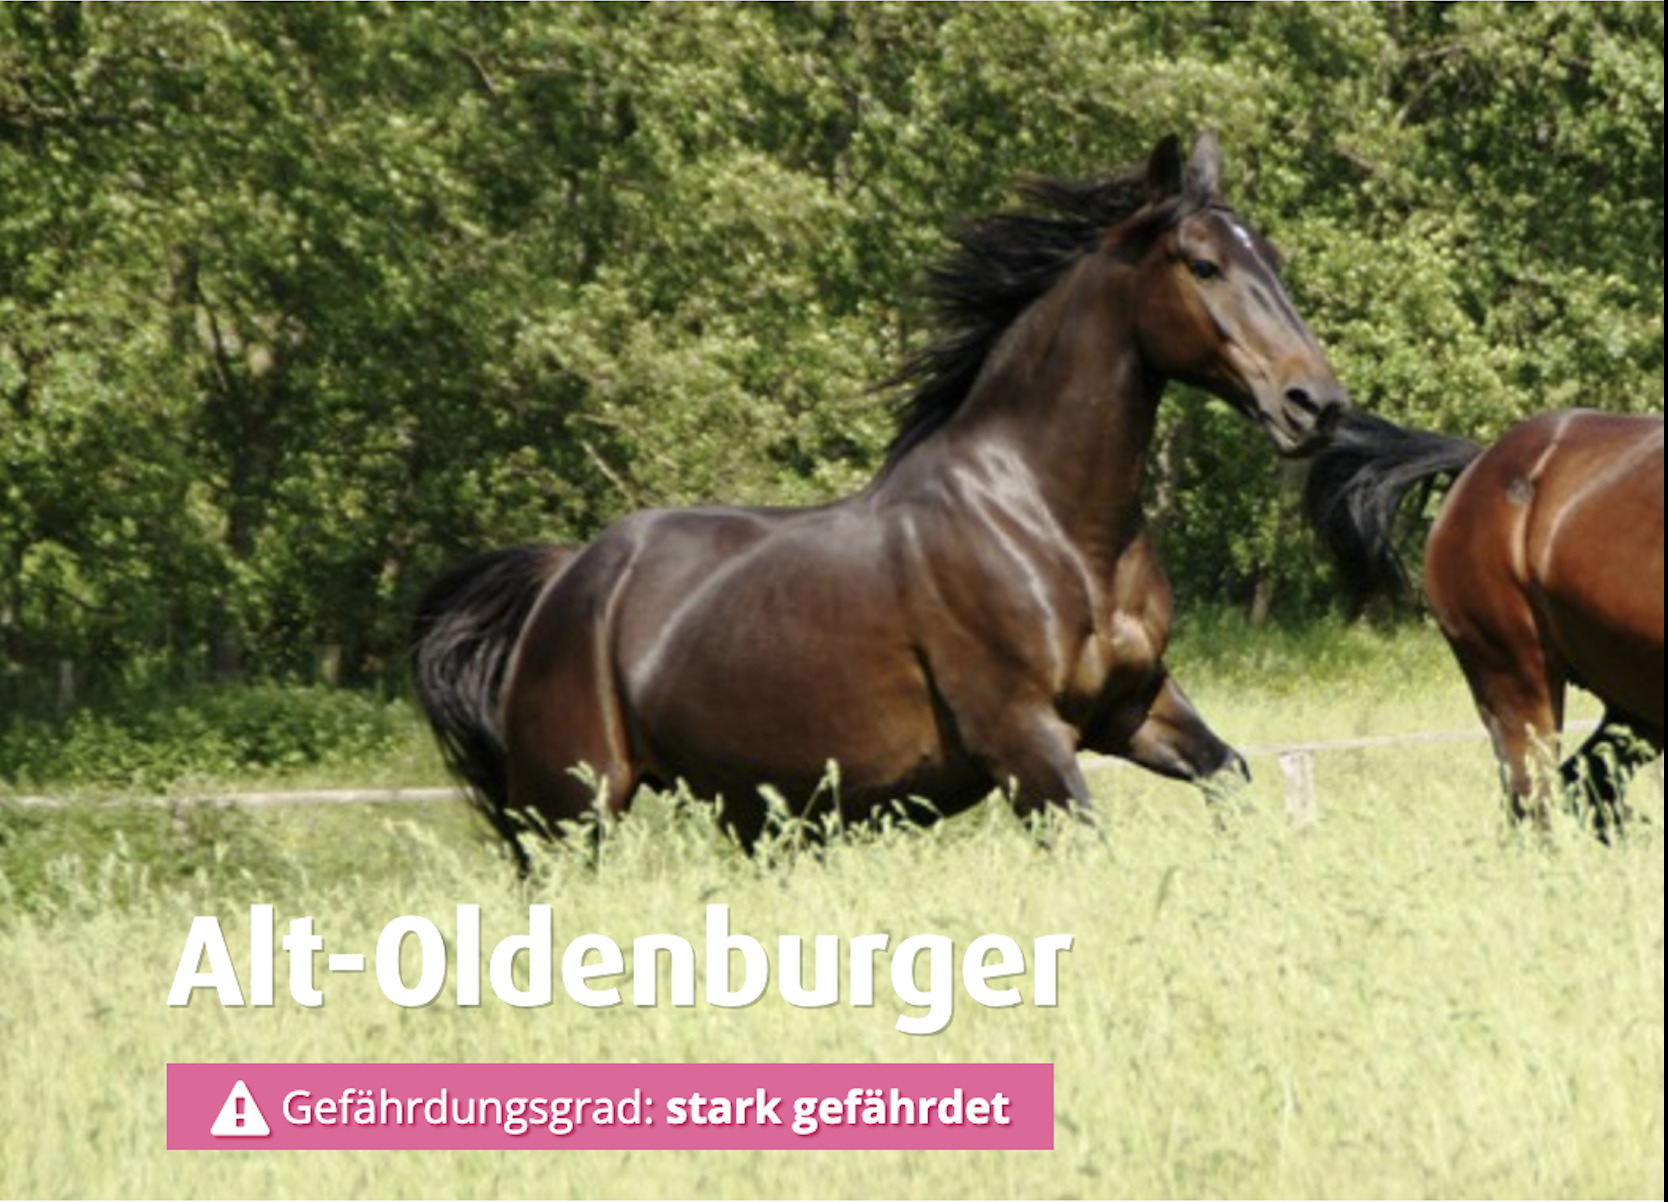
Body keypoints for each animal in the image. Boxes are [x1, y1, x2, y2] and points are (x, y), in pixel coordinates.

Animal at [413, 133, 1348, 868]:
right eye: (1204, 265)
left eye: (1274, 258)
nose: (1317, 405)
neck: (1047, 523)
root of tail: (567, 579)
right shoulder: (1025, 741)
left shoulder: (1136, 706)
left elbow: (1231, 778)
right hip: (568, 814)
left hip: (756, 816)